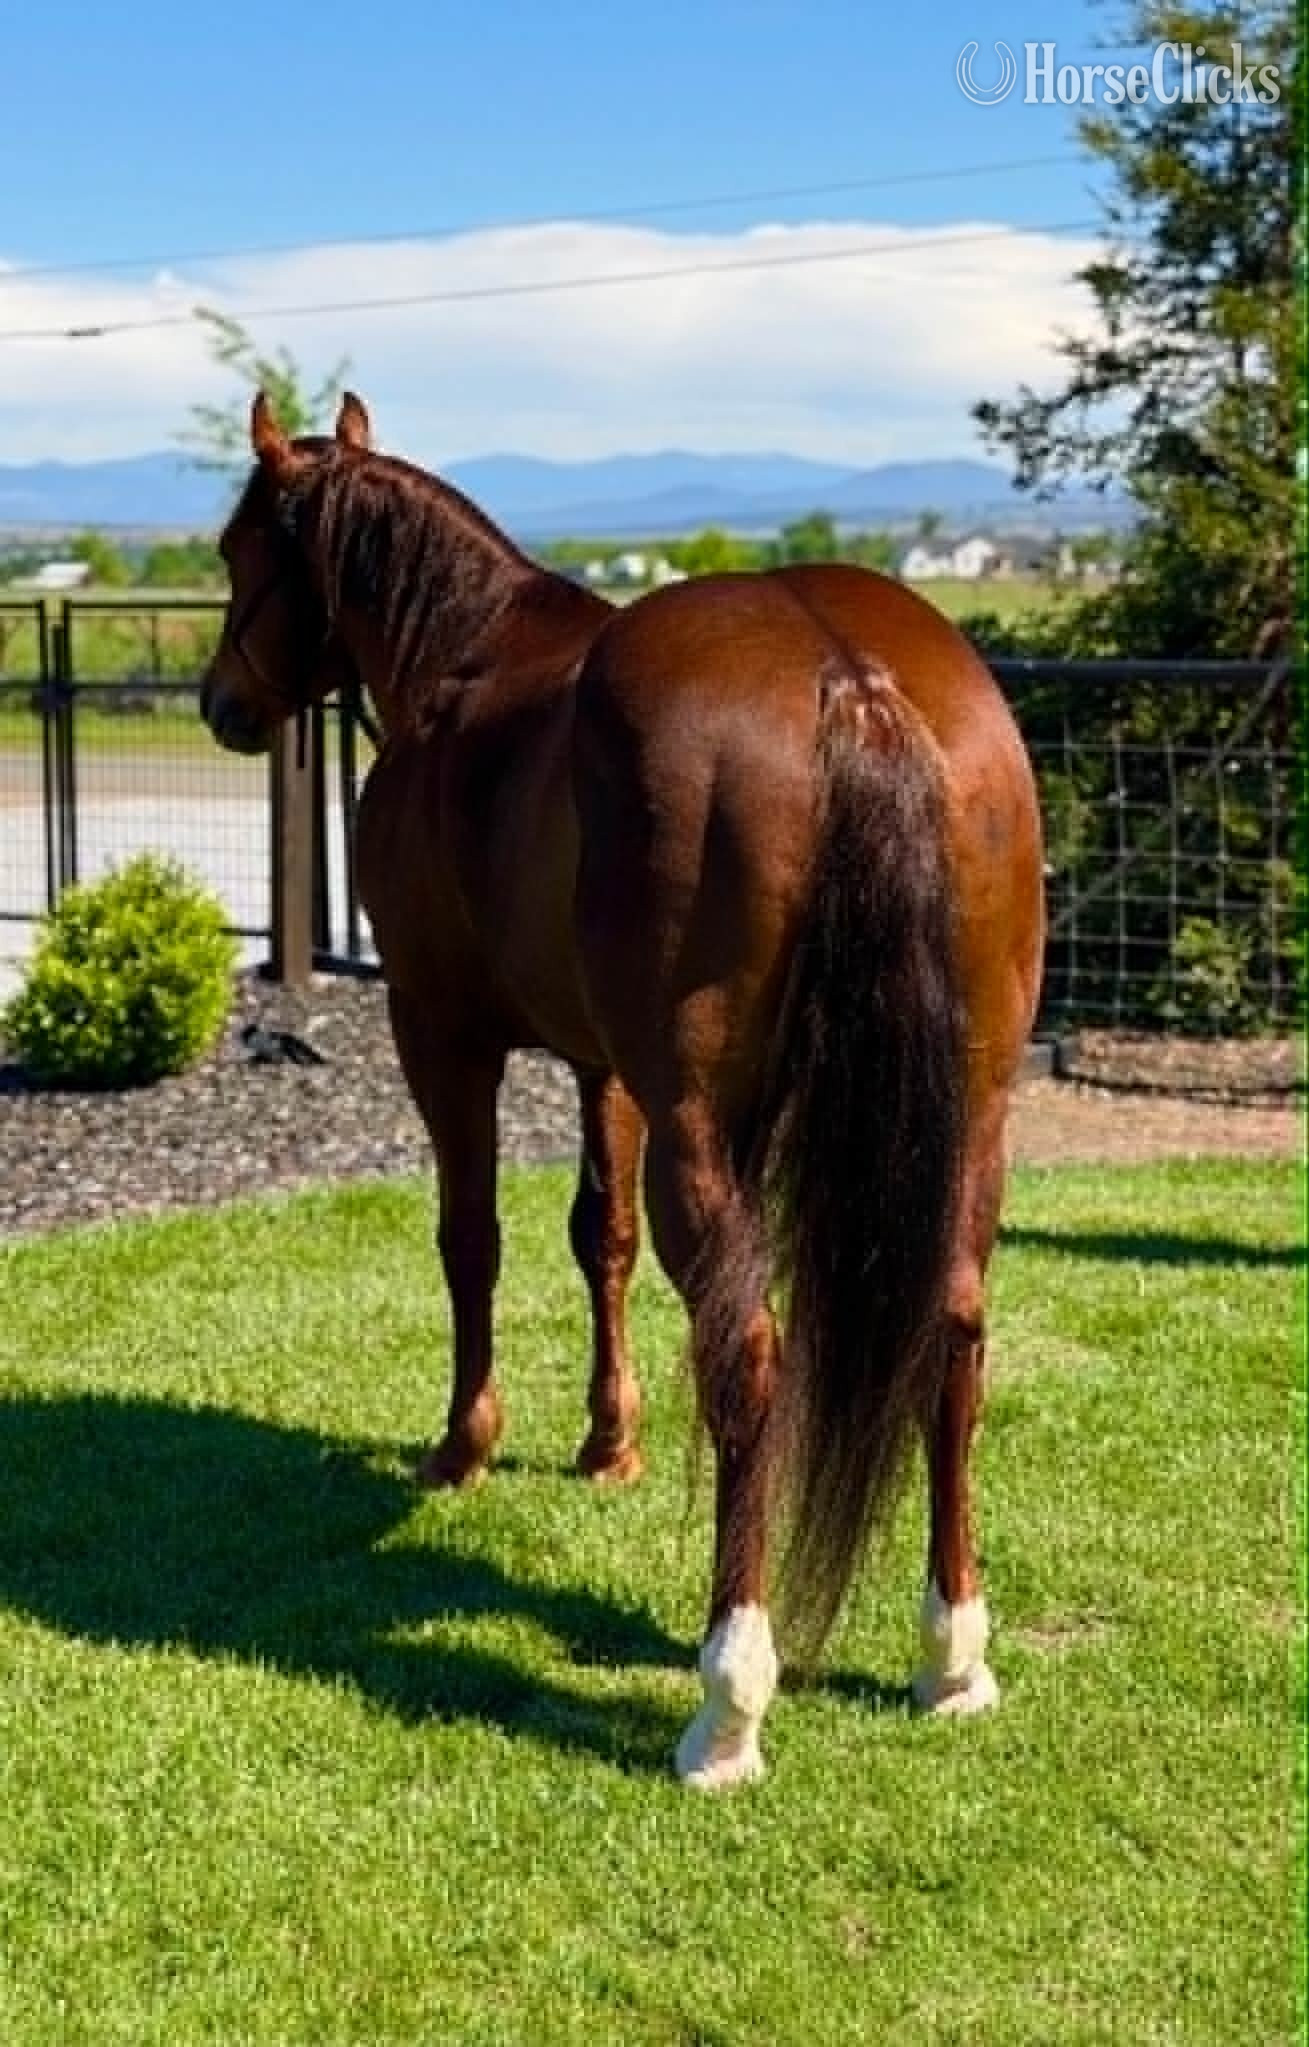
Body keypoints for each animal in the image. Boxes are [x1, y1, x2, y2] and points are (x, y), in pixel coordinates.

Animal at [202, 391, 1045, 1789]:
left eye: (234, 552)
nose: (220, 700)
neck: (464, 664)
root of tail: (850, 680)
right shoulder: (605, 1068)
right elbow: (599, 1239)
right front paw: (608, 1443)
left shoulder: (441, 1033)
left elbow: (472, 1240)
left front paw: (465, 1442)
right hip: (970, 1115)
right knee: (954, 1328)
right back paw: (952, 1655)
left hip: (704, 1126)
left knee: (747, 1354)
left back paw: (729, 1698)